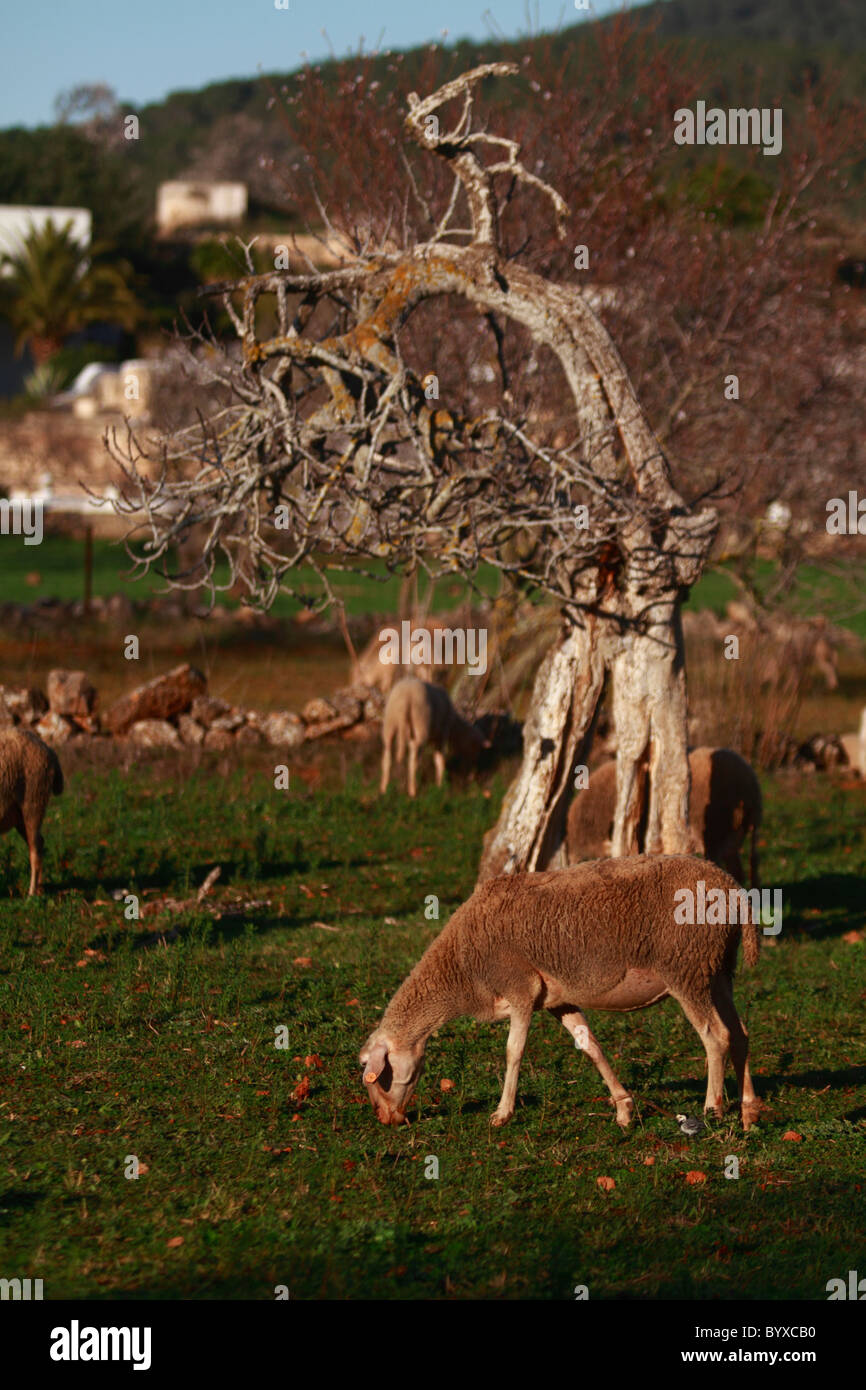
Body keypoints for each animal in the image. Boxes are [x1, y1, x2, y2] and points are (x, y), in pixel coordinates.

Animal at [0, 722, 64, 895]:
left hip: (33, 803)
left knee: (35, 850)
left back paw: (32, 893)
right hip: (19, 816)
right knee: (40, 844)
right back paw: (40, 887)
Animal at [361, 856, 761, 1128]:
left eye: (371, 1070)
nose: (385, 1118)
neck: (460, 968)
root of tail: (734, 890)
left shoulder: (520, 988)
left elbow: (514, 1051)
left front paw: (502, 1114)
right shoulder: (559, 1000)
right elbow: (590, 1047)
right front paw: (624, 1108)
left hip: (686, 969)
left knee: (716, 1037)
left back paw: (713, 1108)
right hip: (717, 970)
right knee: (740, 1034)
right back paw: (749, 1110)